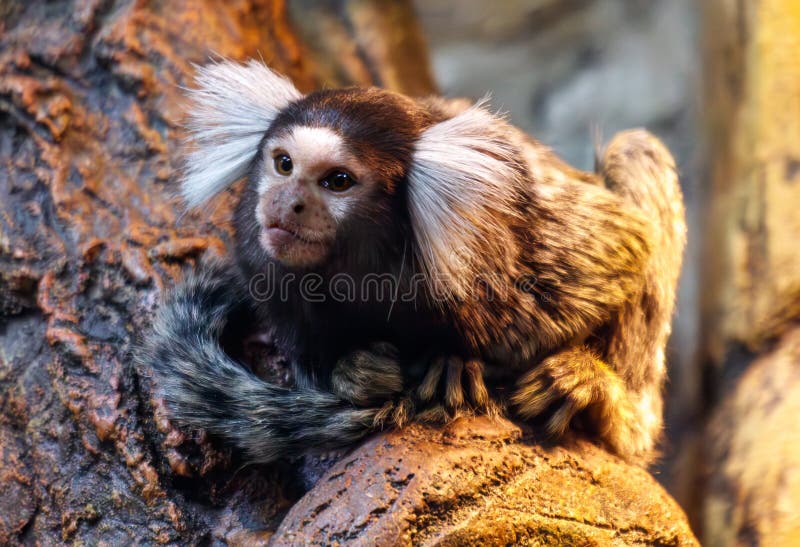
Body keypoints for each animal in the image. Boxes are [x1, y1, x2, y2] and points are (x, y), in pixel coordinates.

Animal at [139, 60, 685, 467]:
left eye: (337, 181)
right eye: (284, 164)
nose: (285, 204)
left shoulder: (516, 248)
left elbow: (630, 243)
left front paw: (455, 363)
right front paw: (361, 370)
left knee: (635, 149)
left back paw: (611, 406)